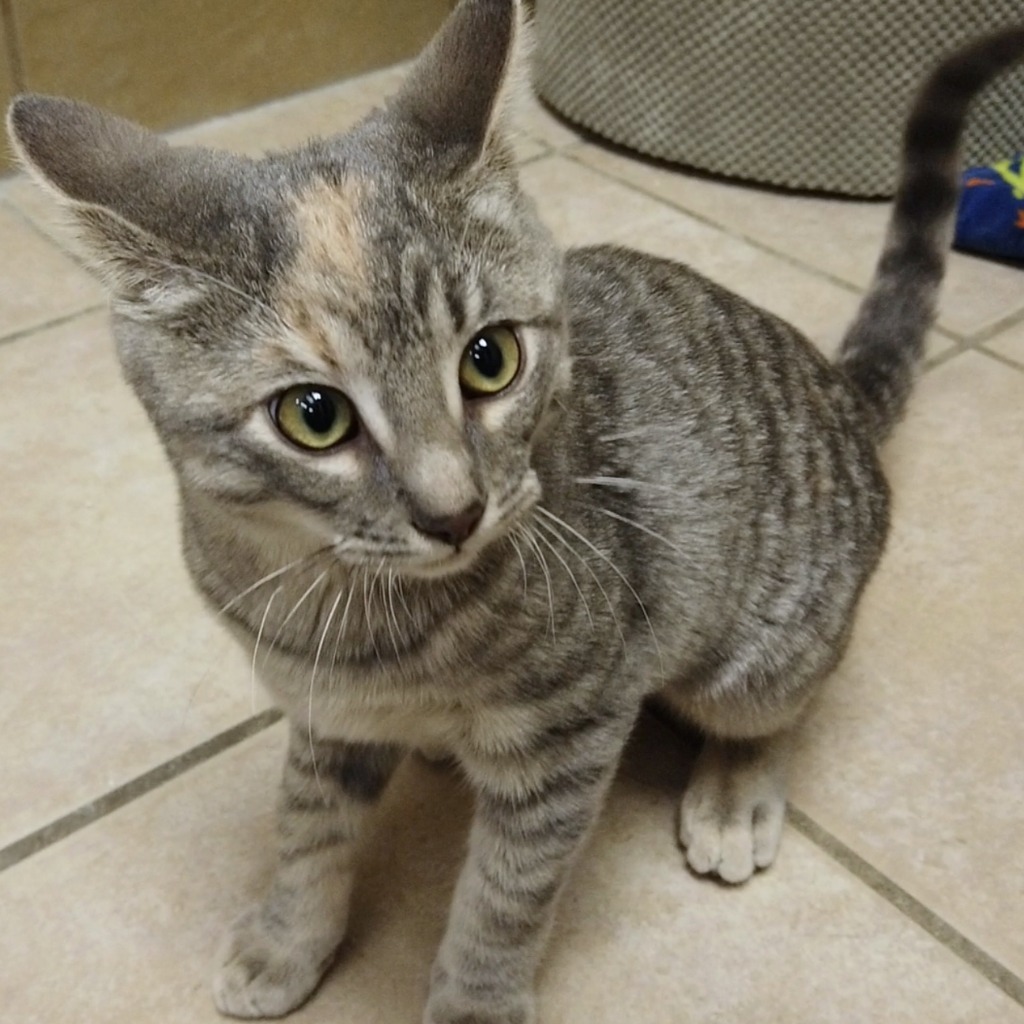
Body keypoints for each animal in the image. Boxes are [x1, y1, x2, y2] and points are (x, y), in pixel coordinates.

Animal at [8, 2, 1024, 1024]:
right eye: (314, 415)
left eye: (490, 359)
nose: (454, 510)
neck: (332, 595)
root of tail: (840, 391)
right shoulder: (323, 709)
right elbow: (307, 823)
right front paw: (286, 937)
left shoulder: (569, 729)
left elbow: (506, 892)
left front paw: (475, 1000)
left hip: (759, 650)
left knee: (781, 703)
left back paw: (735, 790)